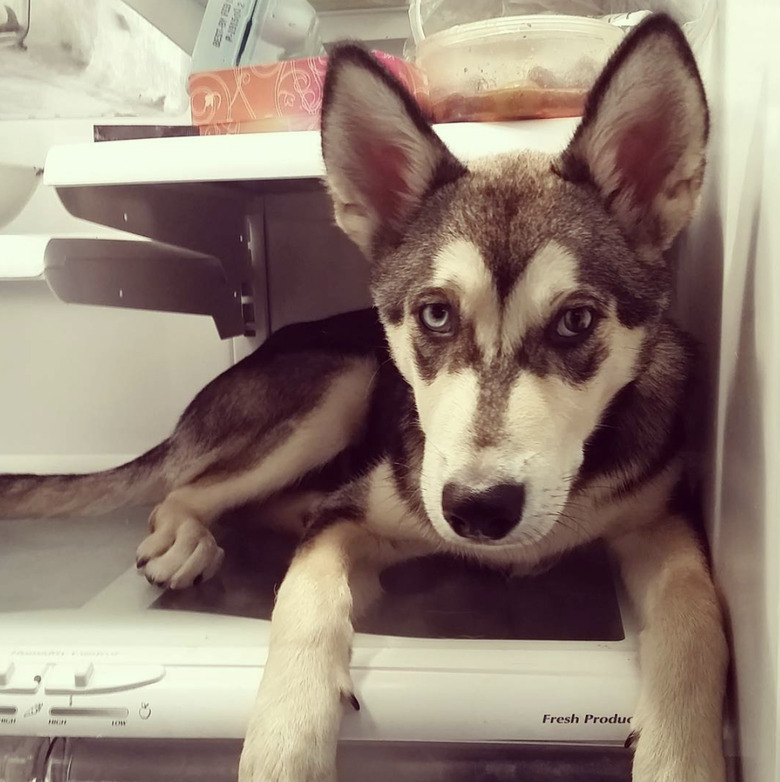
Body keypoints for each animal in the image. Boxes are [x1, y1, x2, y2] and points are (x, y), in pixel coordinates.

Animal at [3, 13, 728, 782]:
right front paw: (285, 738)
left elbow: (697, 611)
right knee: (183, 490)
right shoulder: (356, 516)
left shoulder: (661, 522)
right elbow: (302, 596)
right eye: (435, 314)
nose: (477, 511)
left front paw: (682, 751)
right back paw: (190, 535)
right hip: (342, 381)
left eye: (577, 321)